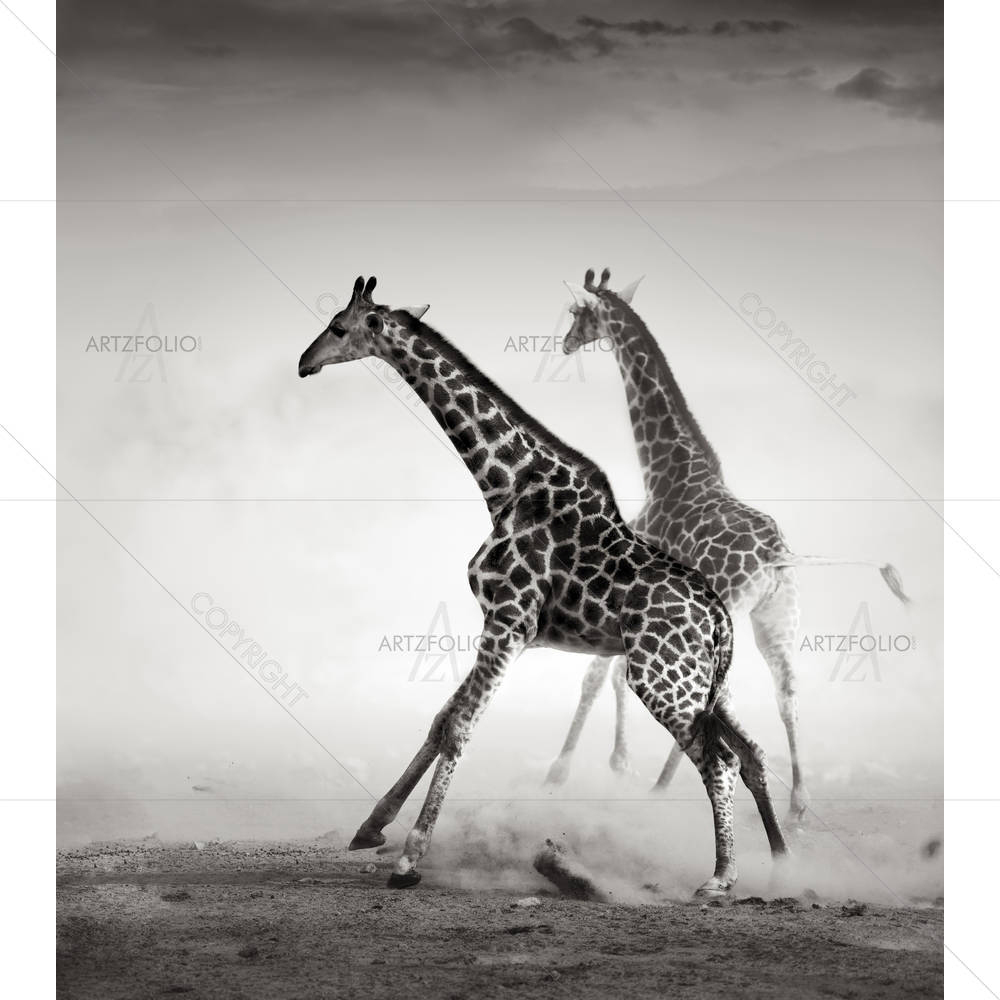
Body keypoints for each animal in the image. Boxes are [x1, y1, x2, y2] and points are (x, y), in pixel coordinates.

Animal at [298, 275, 789, 895]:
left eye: (338, 327)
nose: (304, 363)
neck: (505, 483)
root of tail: (720, 618)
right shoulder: (503, 626)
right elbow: (438, 722)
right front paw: (370, 828)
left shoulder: (509, 620)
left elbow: (458, 728)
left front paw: (409, 860)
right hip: (707, 683)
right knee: (751, 752)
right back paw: (785, 865)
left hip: (661, 679)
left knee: (717, 759)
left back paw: (721, 878)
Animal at [546, 268, 910, 821]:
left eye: (575, 312)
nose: (566, 343)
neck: (666, 471)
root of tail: (778, 555)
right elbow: (614, 676)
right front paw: (616, 762)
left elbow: (596, 676)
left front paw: (564, 771)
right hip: (777, 618)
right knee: (787, 693)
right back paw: (797, 806)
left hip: (733, 612)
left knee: (717, 694)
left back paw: (663, 787)